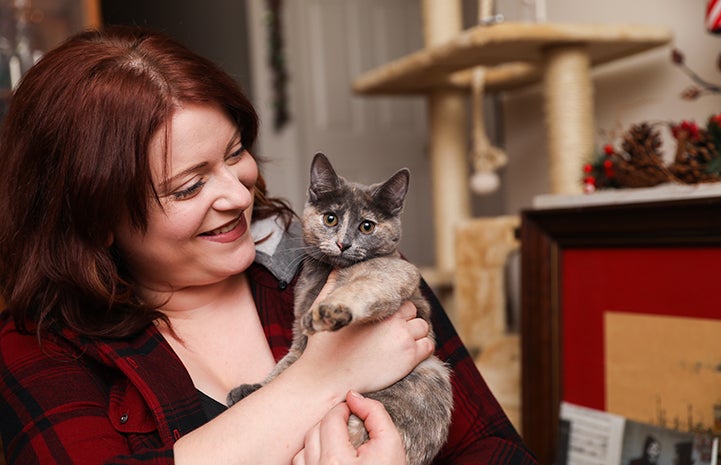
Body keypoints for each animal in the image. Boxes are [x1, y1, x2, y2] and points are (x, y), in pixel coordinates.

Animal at [226, 152, 450, 464]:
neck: (325, 275)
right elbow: (285, 366)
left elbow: (361, 287)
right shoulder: (300, 336)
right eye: (330, 218)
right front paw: (253, 389)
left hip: (432, 371)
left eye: (367, 226)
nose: (343, 243)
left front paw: (330, 309)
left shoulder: (396, 271)